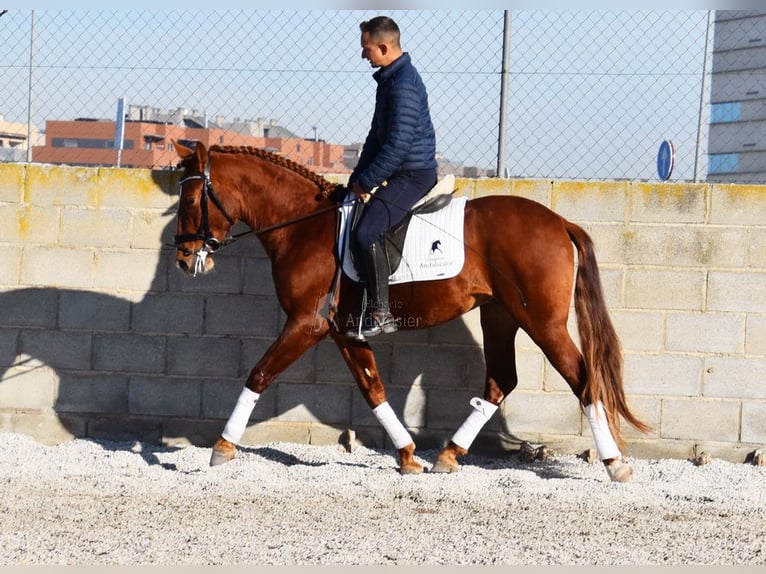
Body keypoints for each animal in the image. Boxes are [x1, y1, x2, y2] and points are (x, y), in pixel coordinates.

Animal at [171, 142, 652, 484]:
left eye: (191, 199)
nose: (183, 259)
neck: (304, 226)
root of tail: (558, 221)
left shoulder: (306, 324)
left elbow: (258, 374)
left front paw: (222, 446)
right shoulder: (344, 332)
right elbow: (374, 390)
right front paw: (406, 456)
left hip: (542, 321)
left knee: (582, 378)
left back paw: (615, 463)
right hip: (500, 315)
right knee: (501, 381)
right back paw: (448, 455)